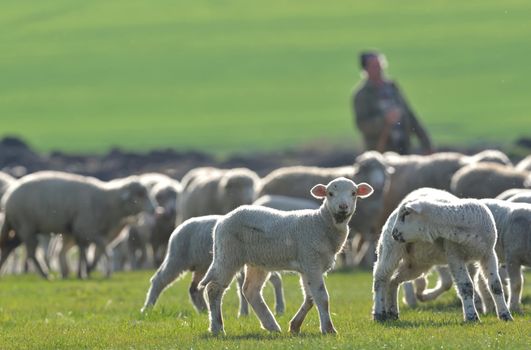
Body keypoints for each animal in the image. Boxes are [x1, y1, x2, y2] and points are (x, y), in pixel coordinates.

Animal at [0, 171, 155, 278]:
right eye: (139, 195)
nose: (154, 209)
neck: (107, 201)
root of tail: (8, 196)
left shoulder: (84, 232)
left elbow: (84, 250)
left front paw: (83, 272)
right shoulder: (86, 229)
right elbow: (98, 249)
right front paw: (93, 271)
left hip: (19, 228)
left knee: (8, 247)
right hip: (26, 226)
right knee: (30, 253)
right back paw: (45, 275)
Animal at [196, 179, 374, 334]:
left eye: (353, 193)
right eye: (330, 193)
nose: (343, 207)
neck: (321, 222)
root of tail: (221, 221)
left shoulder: (308, 266)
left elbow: (310, 298)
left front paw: (295, 326)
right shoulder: (311, 261)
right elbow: (322, 297)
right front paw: (329, 329)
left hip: (256, 262)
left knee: (250, 290)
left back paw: (271, 325)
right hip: (228, 255)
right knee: (214, 289)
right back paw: (217, 328)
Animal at [372, 189, 512, 322]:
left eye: (406, 214)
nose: (394, 233)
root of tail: (391, 214)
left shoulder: (488, 254)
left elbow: (496, 286)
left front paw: (505, 315)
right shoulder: (454, 255)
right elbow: (466, 286)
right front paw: (471, 317)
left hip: (417, 263)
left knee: (393, 281)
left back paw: (392, 312)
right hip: (390, 249)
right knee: (381, 279)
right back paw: (379, 314)